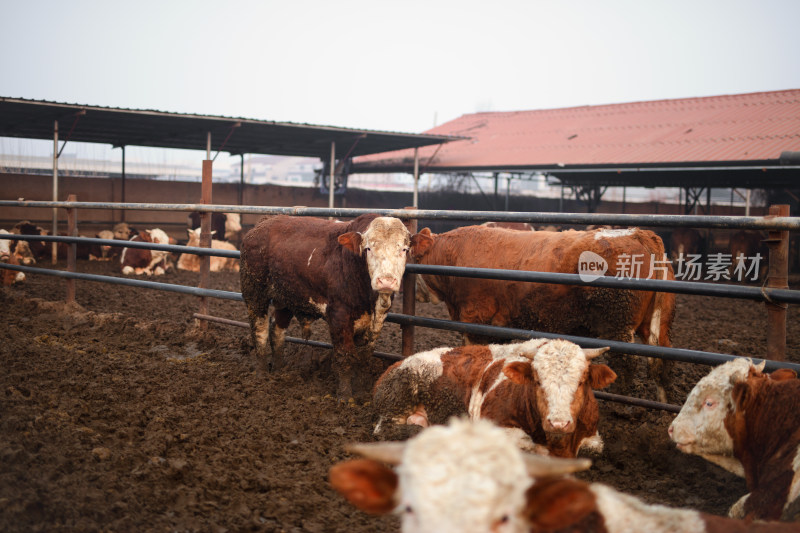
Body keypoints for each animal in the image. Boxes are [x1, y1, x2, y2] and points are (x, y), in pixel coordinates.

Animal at [239, 212, 410, 400]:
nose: (386, 281)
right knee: (260, 331)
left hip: (285, 300)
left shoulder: (375, 320)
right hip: (255, 294)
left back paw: (278, 371)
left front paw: (361, 390)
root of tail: (263, 223)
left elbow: (363, 356)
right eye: (368, 249)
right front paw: (345, 396)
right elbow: (344, 355)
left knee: (277, 331)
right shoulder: (338, 316)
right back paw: (261, 374)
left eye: (404, 249)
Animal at [372, 338, 616, 456]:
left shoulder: (593, 435)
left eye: (582, 381)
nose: (558, 423)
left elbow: (593, 448)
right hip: (399, 398)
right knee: (385, 430)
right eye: (537, 380)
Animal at [410, 224, 680, 404]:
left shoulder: (475, 320)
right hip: (657, 322)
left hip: (616, 325)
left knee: (626, 363)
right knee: (662, 360)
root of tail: (640, 234)